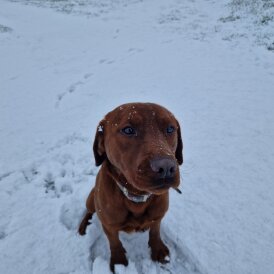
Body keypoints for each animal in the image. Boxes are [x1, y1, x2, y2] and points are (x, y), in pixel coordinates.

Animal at [78, 103, 183, 272]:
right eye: (128, 130)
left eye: (170, 129)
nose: (166, 167)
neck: (136, 197)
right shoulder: (109, 225)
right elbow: (114, 242)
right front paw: (119, 262)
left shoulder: (158, 215)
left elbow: (155, 231)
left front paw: (158, 249)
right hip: (91, 197)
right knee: (89, 210)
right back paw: (84, 225)